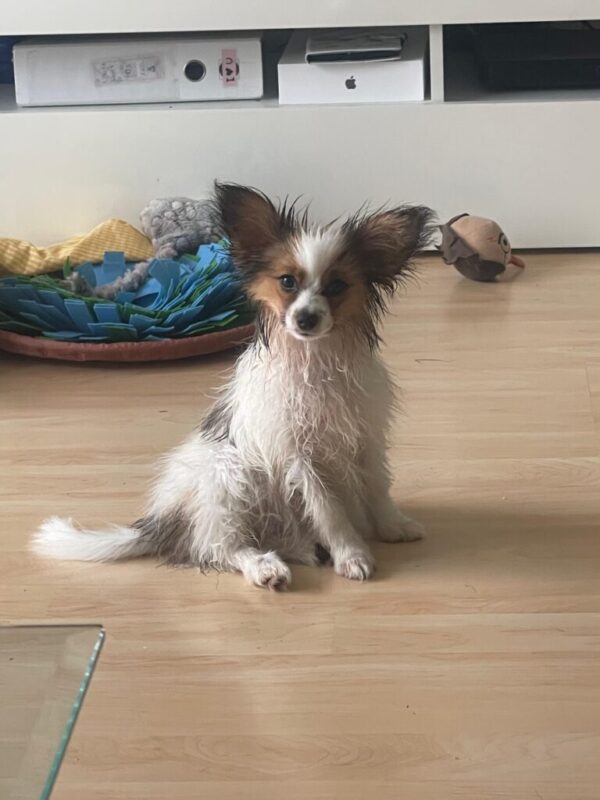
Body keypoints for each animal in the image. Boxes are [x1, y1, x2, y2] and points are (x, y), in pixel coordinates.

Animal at [32, 183, 434, 590]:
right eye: (287, 282)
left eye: (337, 286)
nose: (305, 319)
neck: (315, 361)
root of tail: (163, 522)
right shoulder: (300, 456)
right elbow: (329, 510)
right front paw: (352, 554)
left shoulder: (367, 436)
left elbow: (378, 487)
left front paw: (392, 526)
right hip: (228, 475)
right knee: (221, 549)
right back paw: (264, 567)